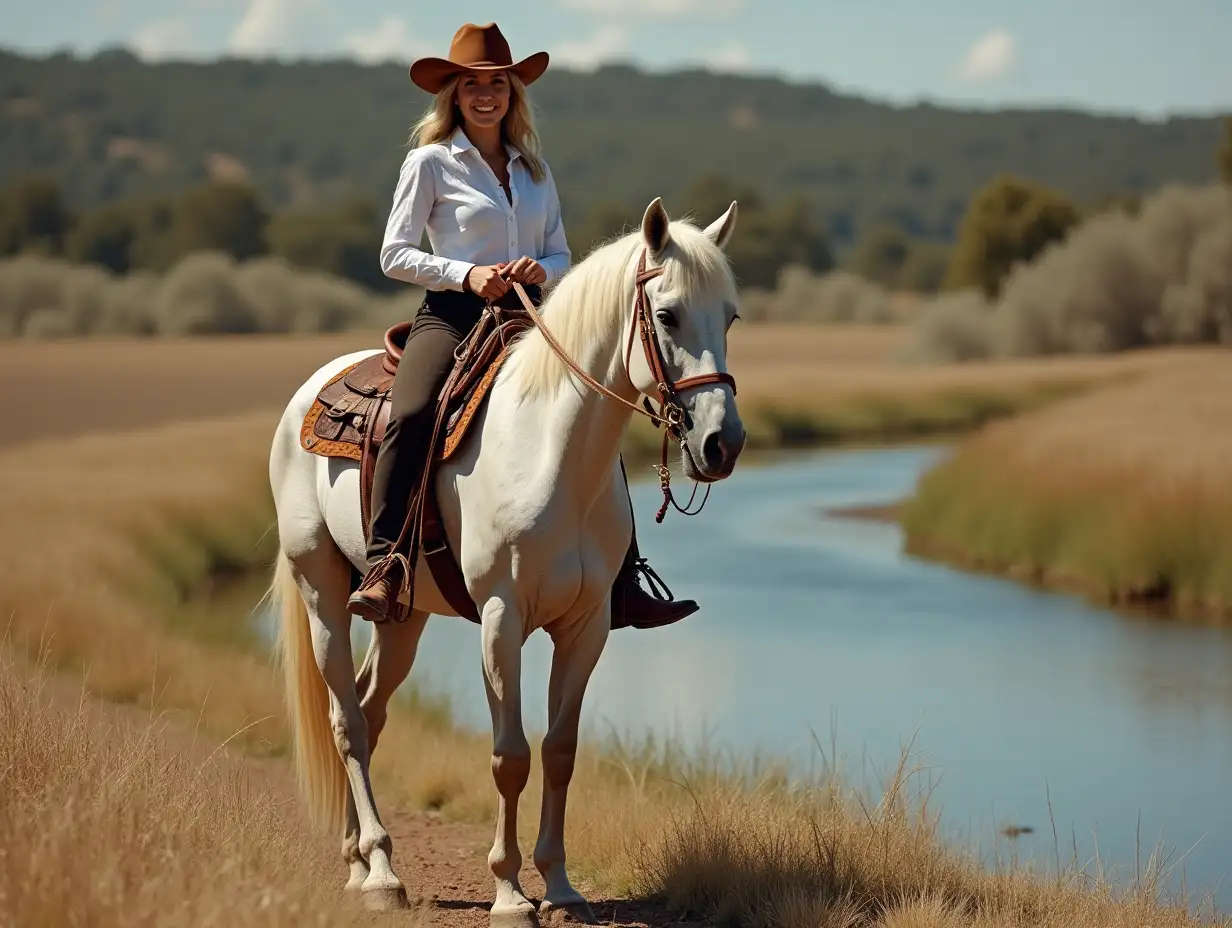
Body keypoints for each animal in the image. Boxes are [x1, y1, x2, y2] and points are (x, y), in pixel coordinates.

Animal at [266, 195, 744, 921]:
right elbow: (510, 755)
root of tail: (310, 390)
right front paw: (511, 892)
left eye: (732, 315)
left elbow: (560, 751)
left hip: (404, 615)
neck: (551, 453)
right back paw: (381, 874)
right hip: (321, 588)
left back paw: (359, 861)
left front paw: (562, 888)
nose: (723, 443)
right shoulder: (501, 619)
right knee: (346, 720)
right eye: (667, 314)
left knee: (372, 713)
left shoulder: (586, 627)